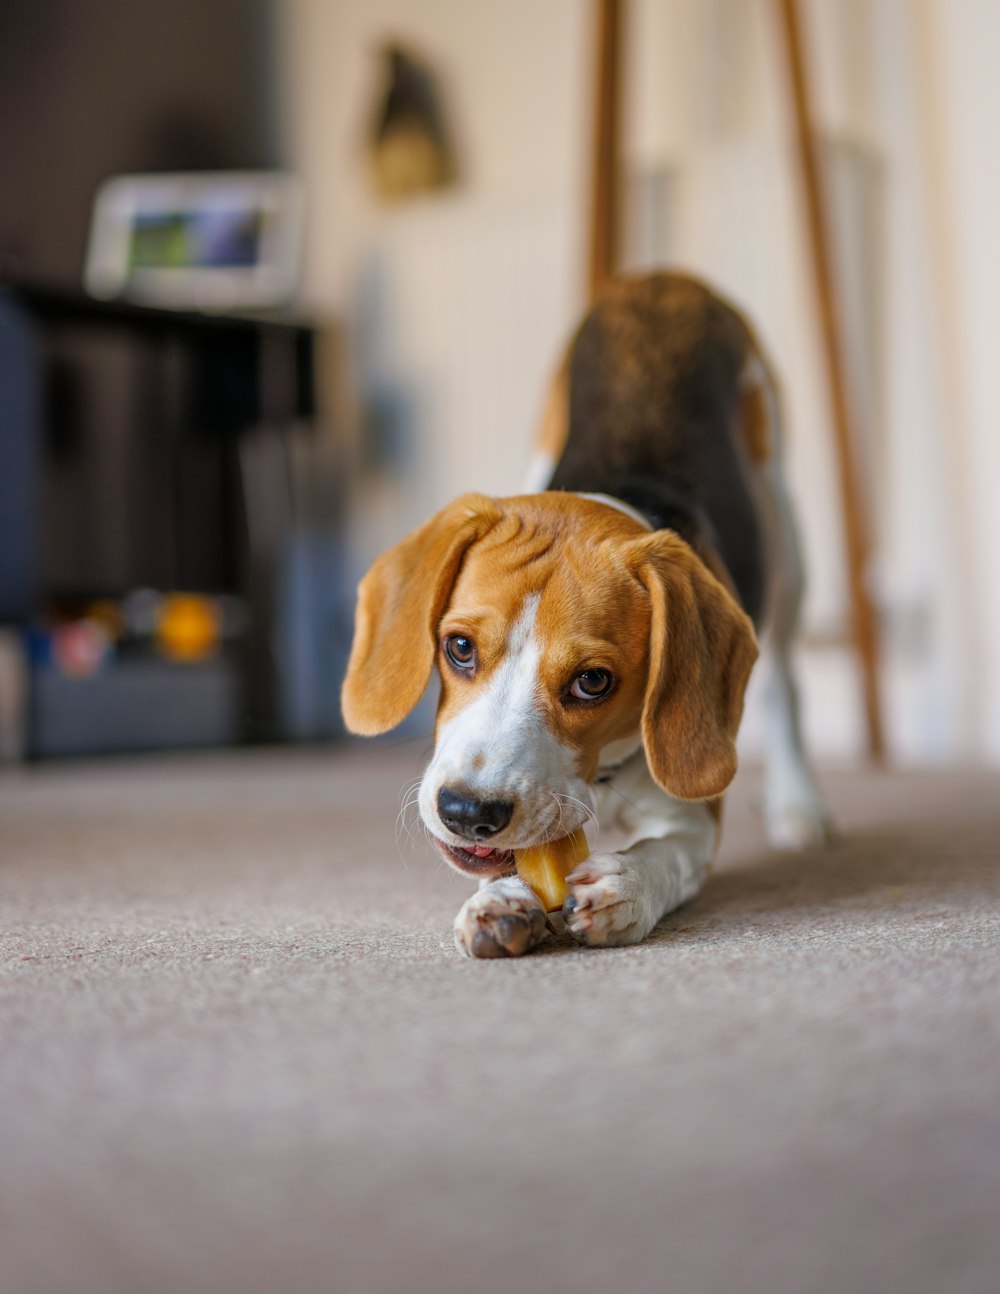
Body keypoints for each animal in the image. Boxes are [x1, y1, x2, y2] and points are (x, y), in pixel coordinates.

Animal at [341, 273, 827, 957]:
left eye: (593, 682)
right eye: (459, 648)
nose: (467, 811)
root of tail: (667, 279)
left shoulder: (695, 819)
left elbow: (667, 855)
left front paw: (627, 887)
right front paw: (500, 899)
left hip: (785, 530)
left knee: (785, 681)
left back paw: (799, 806)